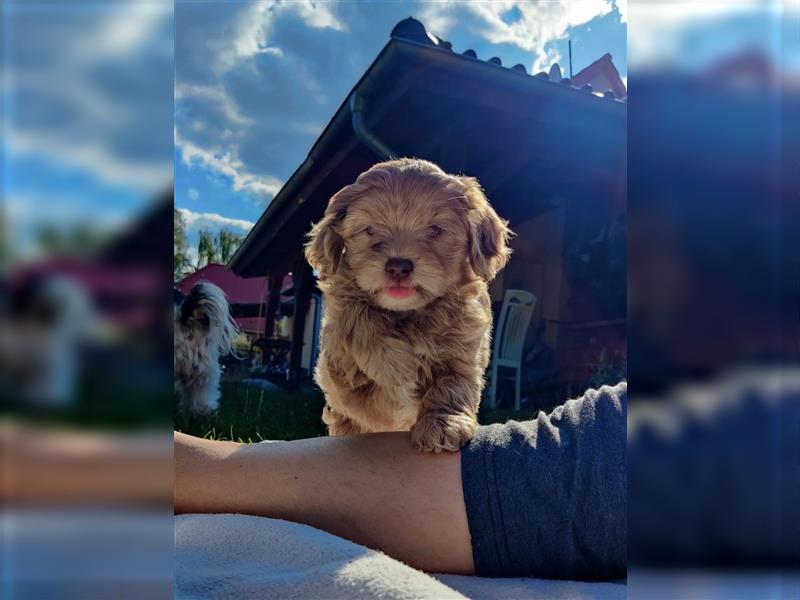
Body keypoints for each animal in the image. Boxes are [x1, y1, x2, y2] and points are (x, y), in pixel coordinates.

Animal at [304, 158, 510, 450]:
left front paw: (443, 424)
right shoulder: (336, 358)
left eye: (435, 230)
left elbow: (454, 381)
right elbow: (355, 314)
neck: (407, 313)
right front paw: (395, 366)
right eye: (370, 230)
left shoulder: (466, 345)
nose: (398, 266)